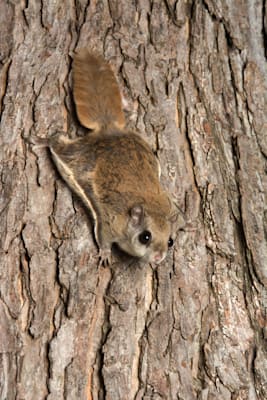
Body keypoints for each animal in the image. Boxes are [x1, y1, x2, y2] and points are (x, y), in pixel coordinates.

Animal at [36, 50, 178, 268]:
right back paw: (42, 140)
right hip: (78, 156)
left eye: (170, 241)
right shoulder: (111, 223)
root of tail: (108, 129)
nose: (158, 257)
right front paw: (104, 254)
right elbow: (103, 237)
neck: (147, 206)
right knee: (57, 143)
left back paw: (128, 103)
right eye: (145, 237)